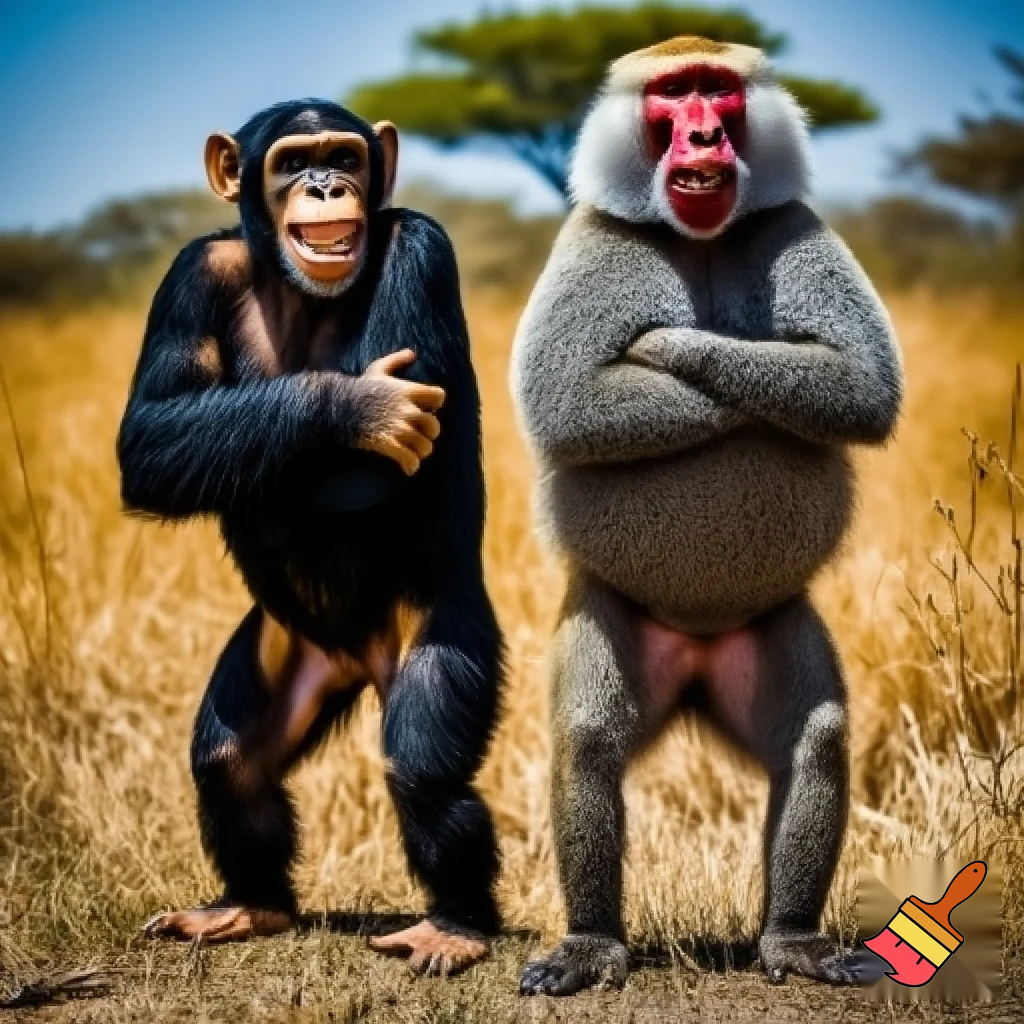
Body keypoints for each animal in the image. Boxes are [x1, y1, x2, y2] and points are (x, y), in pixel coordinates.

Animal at [117, 100, 505, 976]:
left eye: (344, 156)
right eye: (294, 161)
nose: (326, 182)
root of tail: (356, 657)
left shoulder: (421, 246)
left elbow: (373, 473)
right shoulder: (191, 275)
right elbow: (149, 435)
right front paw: (354, 406)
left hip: (440, 628)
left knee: (424, 770)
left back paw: (457, 923)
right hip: (284, 648)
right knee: (230, 763)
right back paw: (248, 904)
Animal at [510, 37, 902, 995]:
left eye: (717, 90)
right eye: (671, 93)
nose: (700, 136)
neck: (704, 237)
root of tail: (693, 647)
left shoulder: (791, 224)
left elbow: (857, 380)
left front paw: (680, 347)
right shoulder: (593, 239)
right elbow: (568, 401)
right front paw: (665, 349)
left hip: (766, 635)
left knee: (815, 744)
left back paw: (793, 940)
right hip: (614, 625)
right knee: (586, 746)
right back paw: (590, 946)